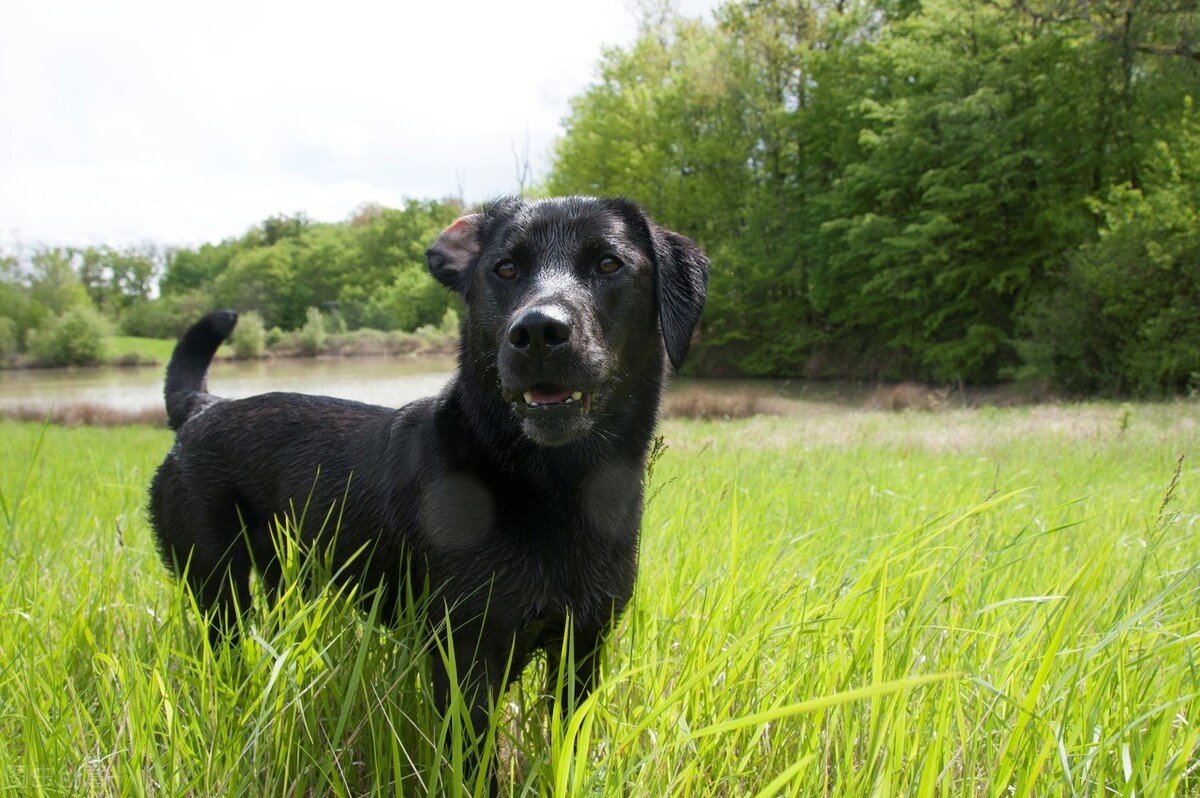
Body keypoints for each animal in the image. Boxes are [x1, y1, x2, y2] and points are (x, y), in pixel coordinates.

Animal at [151, 195, 710, 739]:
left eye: (609, 263)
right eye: (505, 268)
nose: (537, 330)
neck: (556, 487)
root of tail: (202, 408)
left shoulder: (585, 644)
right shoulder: (466, 655)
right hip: (216, 584)